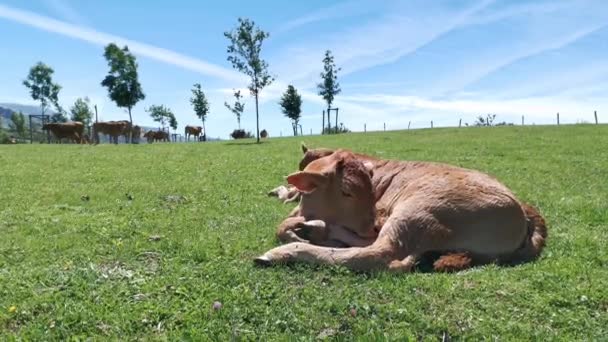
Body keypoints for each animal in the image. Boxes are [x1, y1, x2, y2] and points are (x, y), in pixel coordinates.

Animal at [255, 150, 548, 272]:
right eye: (347, 191)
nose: (372, 224)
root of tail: (523, 209)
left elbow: (284, 225)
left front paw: (299, 231)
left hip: (417, 211)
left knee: (377, 253)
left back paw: (283, 252)